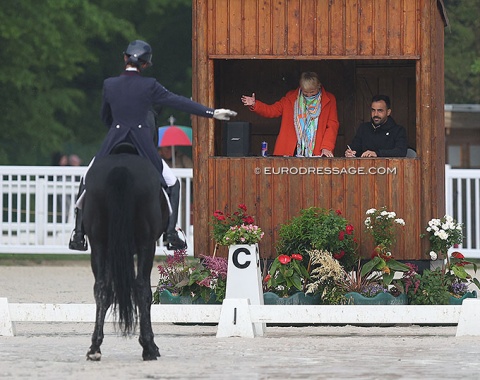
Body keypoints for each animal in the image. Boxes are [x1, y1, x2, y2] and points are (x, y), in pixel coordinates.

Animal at [83, 150, 170, 360]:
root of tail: (121, 167)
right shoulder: (144, 246)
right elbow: (144, 292)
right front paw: (150, 345)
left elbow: (106, 293)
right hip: (146, 244)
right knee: (141, 288)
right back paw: (148, 348)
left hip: (99, 244)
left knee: (101, 288)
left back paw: (94, 348)